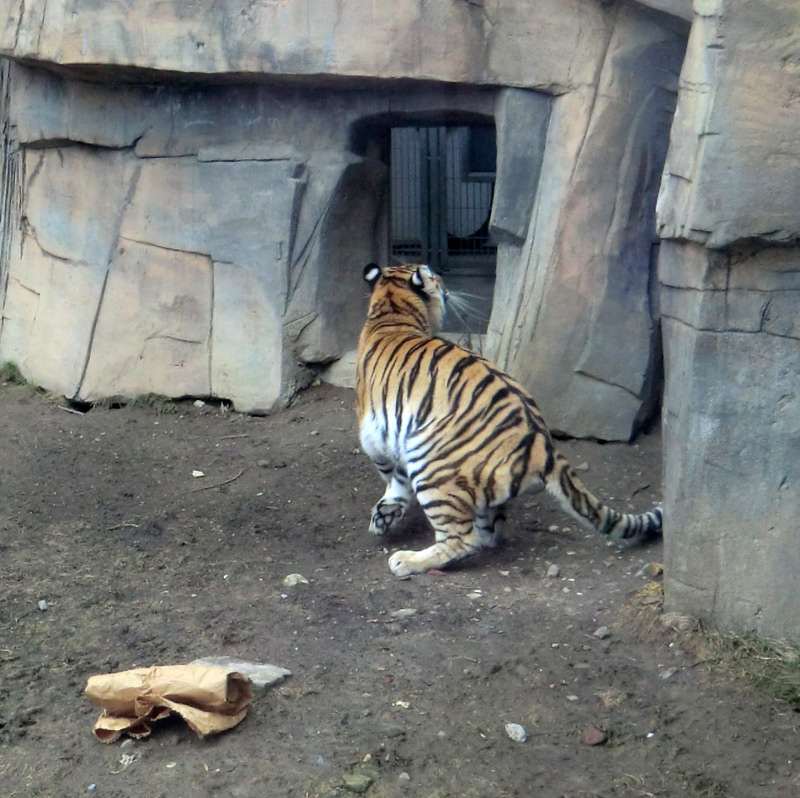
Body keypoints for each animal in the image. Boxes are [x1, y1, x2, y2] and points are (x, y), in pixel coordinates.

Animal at [358, 266, 664, 580]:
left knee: (464, 540)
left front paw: (386, 513)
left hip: (430, 465)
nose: (445, 285)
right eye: (436, 279)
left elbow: (391, 473)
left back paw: (407, 561)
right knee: (489, 531)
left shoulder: (375, 433)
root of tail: (542, 443)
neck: (392, 310)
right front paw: (385, 515)